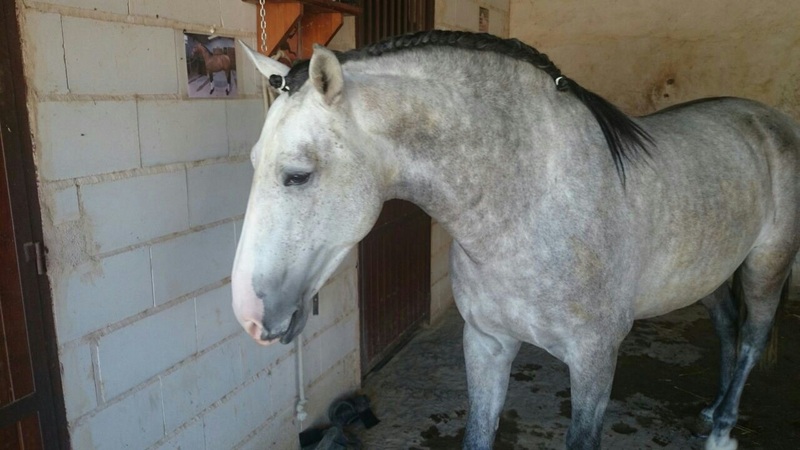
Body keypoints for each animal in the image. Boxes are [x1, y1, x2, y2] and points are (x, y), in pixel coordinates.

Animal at [231, 31, 800, 450]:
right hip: (709, 273)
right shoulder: (486, 342)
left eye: (298, 175)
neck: (528, 209)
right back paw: (710, 411)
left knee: (752, 339)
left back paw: (723, 431)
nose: (248, 315)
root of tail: (769, 120)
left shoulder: (595, 361)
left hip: (767, 266)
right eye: (253, 163)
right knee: (727, 327)